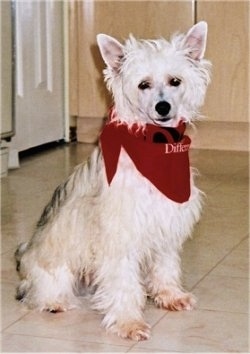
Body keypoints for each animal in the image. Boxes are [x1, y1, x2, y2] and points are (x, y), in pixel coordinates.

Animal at [15, 21, 211, 340]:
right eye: (143, 85)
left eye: (175, 81)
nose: (163, 107)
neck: (154, 146)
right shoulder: (120, 233)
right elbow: (123, 283)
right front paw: (128, 322)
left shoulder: (166, 223)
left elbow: (165, 266)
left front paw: (169, 295)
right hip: (56, 265)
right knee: (40, 292)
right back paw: (54, 302)